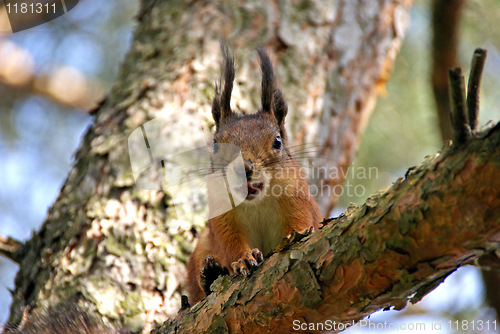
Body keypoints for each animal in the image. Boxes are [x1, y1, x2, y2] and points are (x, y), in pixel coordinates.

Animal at [186, 45, 322, 304]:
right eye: (215, 145)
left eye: (277, 141)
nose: (244, 168)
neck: (257, 201)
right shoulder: (222, 215)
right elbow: (228, 242)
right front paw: (244, 259)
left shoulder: (298, 197)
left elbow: (301, 221)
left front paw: (297, 235)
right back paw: (209, 273)